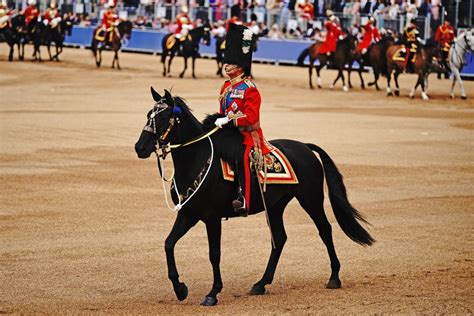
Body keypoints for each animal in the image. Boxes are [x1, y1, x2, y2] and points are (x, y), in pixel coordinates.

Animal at [133, 88, 374, 306]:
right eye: (148, 114)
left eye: (162, 117)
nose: (140, 148)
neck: (195, 159)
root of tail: (305, 147)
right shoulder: (188, 214)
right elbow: (168, 244)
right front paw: (180, 288)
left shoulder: (211, 218)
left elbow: (214, 253)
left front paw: (213, 292)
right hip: (275, 206)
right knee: (280, 238)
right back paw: (261, 283)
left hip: (310, 200)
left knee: (324, 230)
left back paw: (334, 277)